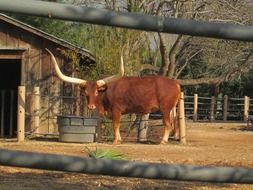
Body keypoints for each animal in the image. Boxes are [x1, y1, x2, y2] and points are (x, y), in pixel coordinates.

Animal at [45, 48, 180, 144]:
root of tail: (175, 83)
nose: (91, 106)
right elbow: (114, 125)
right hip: (170, 109)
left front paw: (116, 140)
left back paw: (163, 141)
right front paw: (118, 139)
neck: (106, 91)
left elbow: (115, 125)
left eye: (96, 92)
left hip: (165, 109)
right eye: (86, 93)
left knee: (167, 124)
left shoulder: (116, 110)